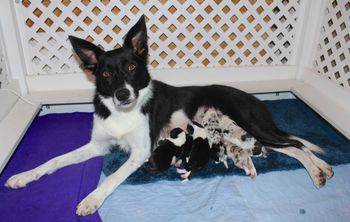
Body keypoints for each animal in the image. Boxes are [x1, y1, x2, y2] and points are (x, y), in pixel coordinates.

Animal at [5, 16, 334, 217]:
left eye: (132, 67)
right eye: (107, 73)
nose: (123, 94)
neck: (122, 112)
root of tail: (250, 95)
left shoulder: (140, 152)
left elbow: (113, 176)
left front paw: (91, 199)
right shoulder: (99, 145)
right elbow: (54, 161)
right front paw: (24, 176)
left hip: (250, 122)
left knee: (296, 146)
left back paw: (320, 170)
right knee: (290, 146)